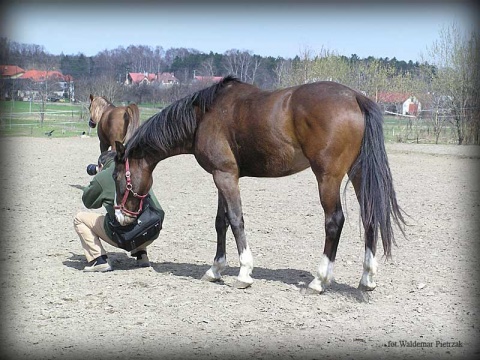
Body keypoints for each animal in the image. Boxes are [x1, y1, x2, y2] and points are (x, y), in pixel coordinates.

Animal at [111, 76, 404, 292]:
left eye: (116, 177)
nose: (121, 217)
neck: (204, 116)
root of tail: (356, 97)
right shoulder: (222, 175)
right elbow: (221, 222)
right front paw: (215, 269)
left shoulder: (225, 176)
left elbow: (236, 220)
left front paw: (244, 272)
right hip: (359, 173)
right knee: (370, 217)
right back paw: (367, 278)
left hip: (328, 177)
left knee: (334, 221)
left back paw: (319, 280)